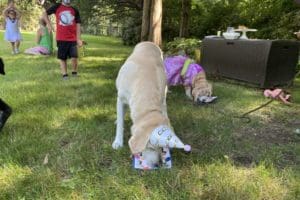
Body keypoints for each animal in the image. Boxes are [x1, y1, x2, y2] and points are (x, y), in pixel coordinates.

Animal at [112, 41, 190, 169]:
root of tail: (149, 42)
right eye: (151, 147)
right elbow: (120, 124)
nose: (158, 164)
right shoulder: (120, 98)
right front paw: (118, 142)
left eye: (163, 148)